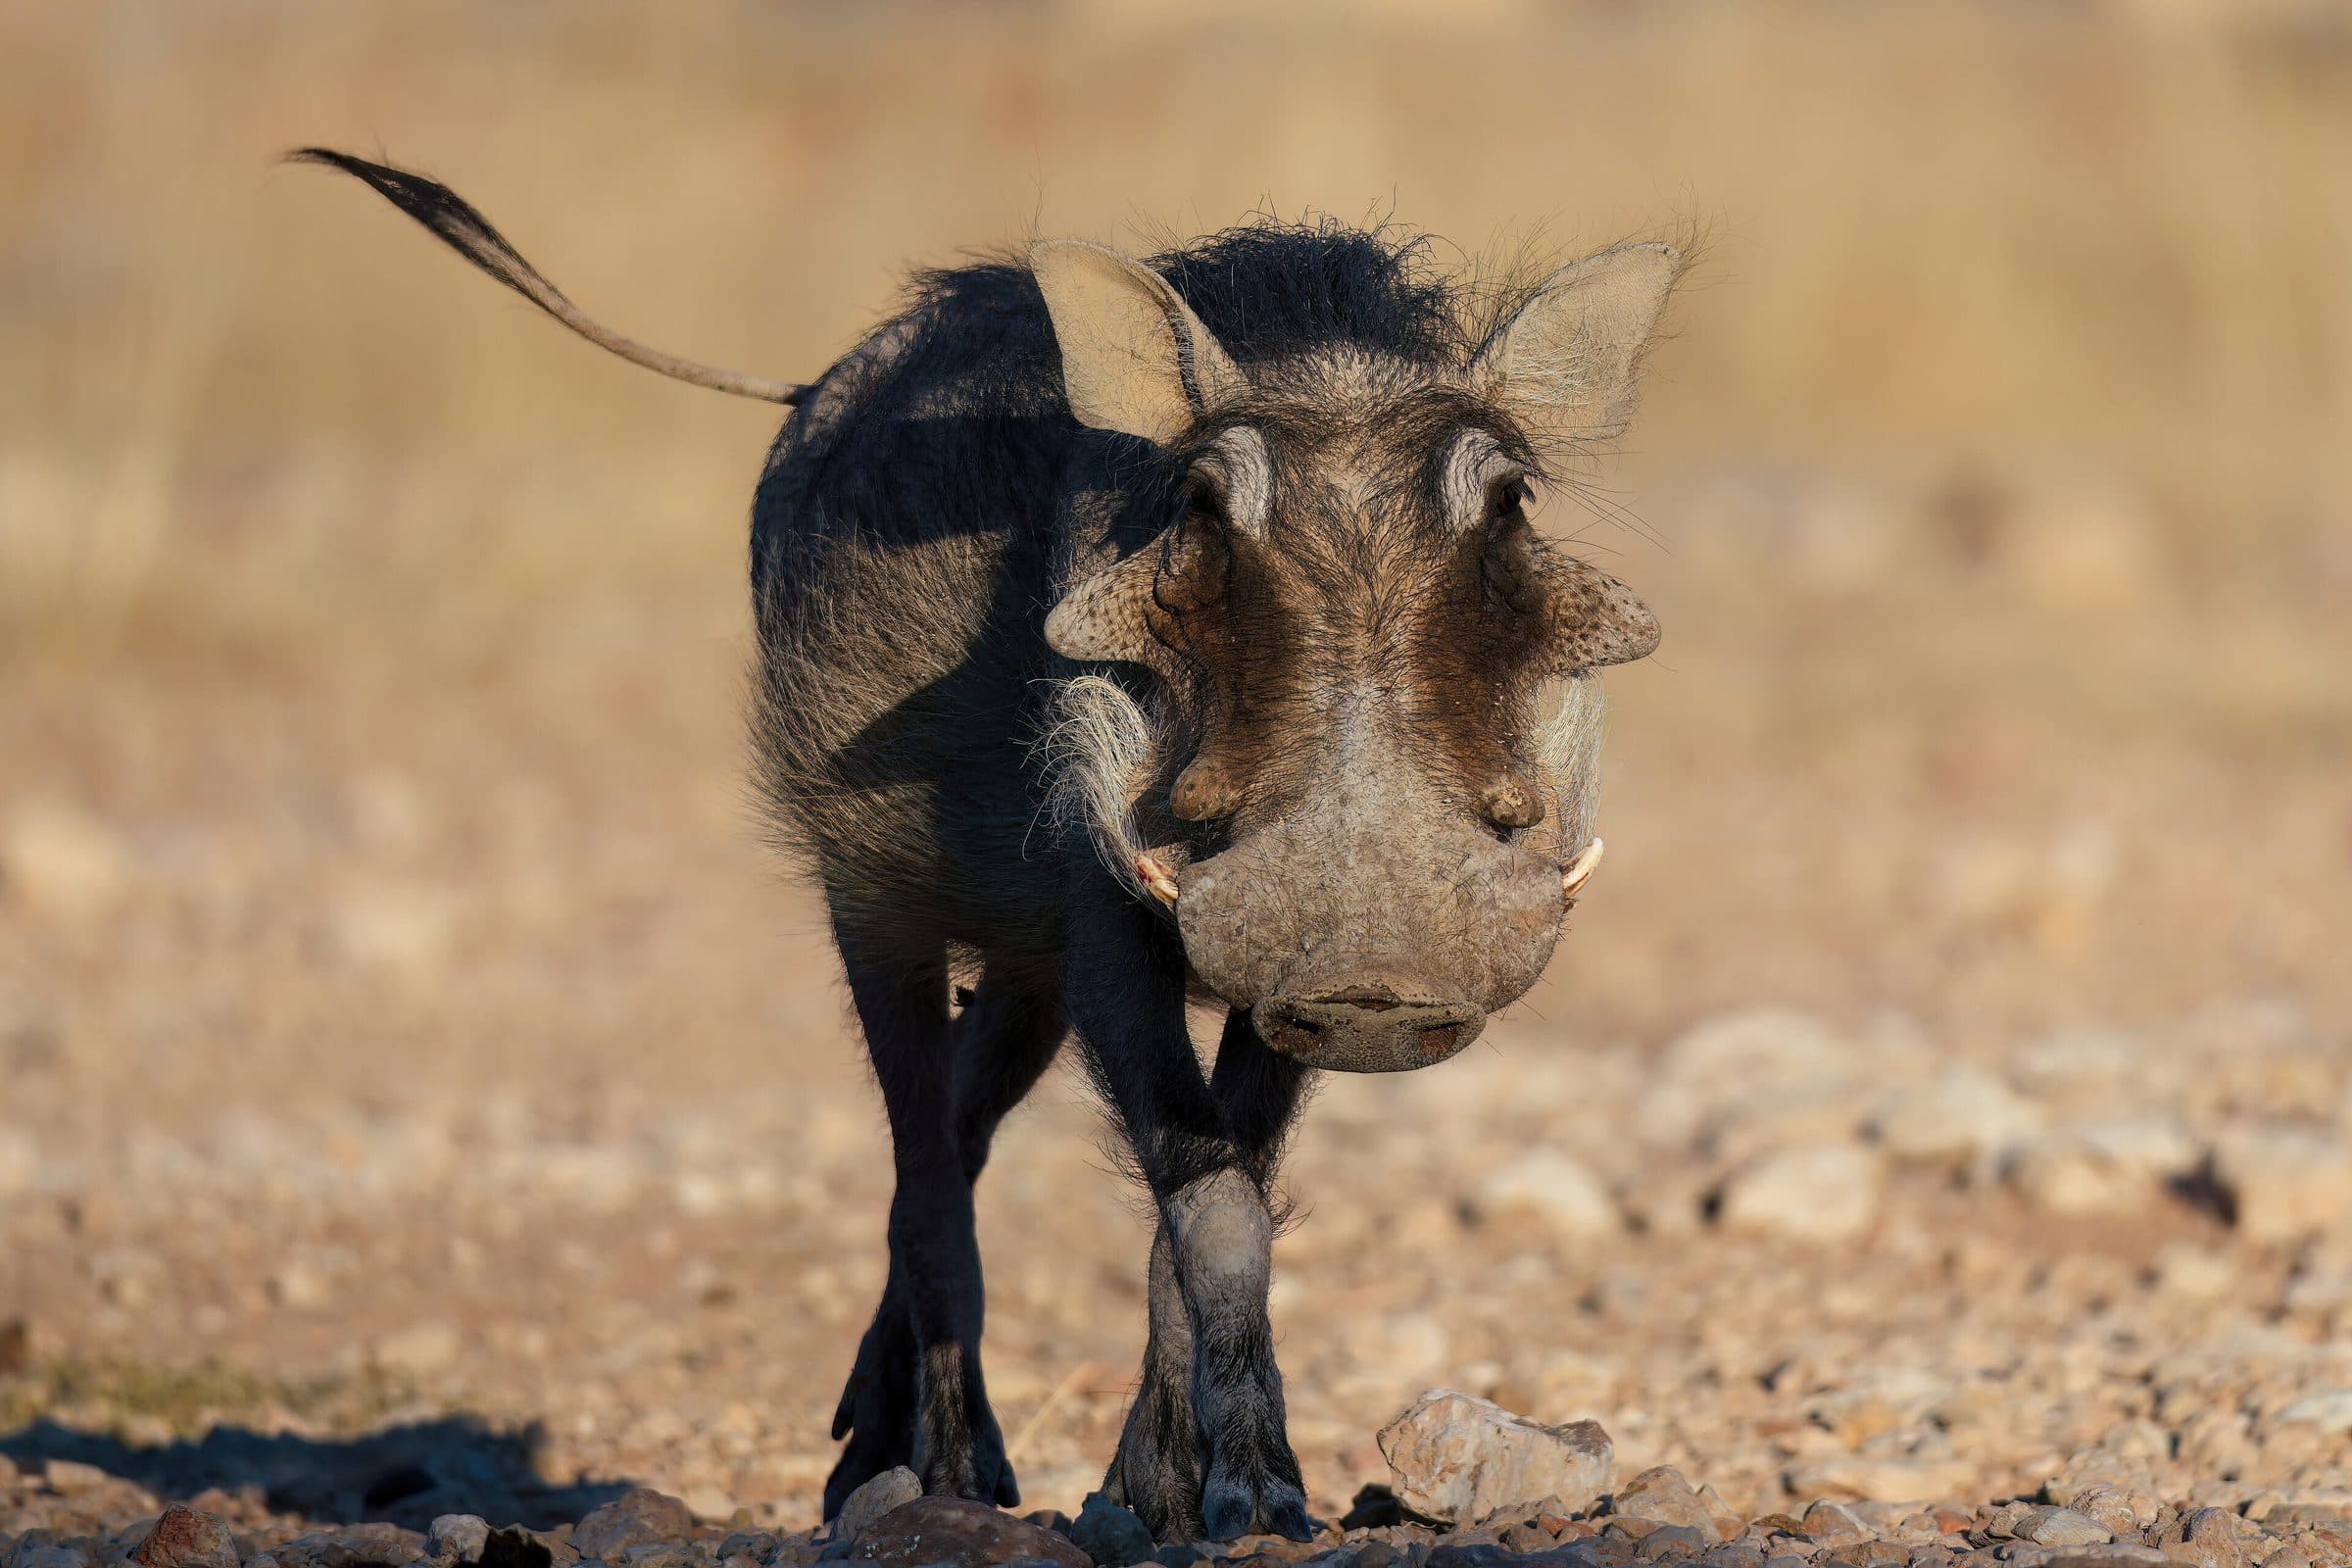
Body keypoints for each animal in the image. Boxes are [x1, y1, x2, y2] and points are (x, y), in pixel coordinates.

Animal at [295, 149, 1680, 1541]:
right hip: (877, 910)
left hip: (1025, 980)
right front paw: (1255, 1493)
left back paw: (882, 1431)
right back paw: (938, 1476)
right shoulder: (1112, 926)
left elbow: (1201, 1200)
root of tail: (814, 392)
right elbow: (1213, 1200)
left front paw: (1153, 1492)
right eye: (1200, 503)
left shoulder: (1258, 994)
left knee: (959, 1124)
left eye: (1511, 501)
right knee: (925, 1166)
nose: (1378, 975)